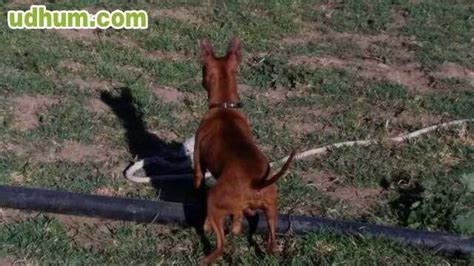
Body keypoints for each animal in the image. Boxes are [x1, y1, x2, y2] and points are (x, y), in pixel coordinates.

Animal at [192, 38, 294, 264]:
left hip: (214, 201)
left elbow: (197, 179)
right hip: (272, 209)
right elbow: (238, 223)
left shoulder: (198, 162)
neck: (225, 107)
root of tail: (257, 183)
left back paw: (206, 257)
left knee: (220, 246)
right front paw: (237, 227)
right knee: (270, 241)